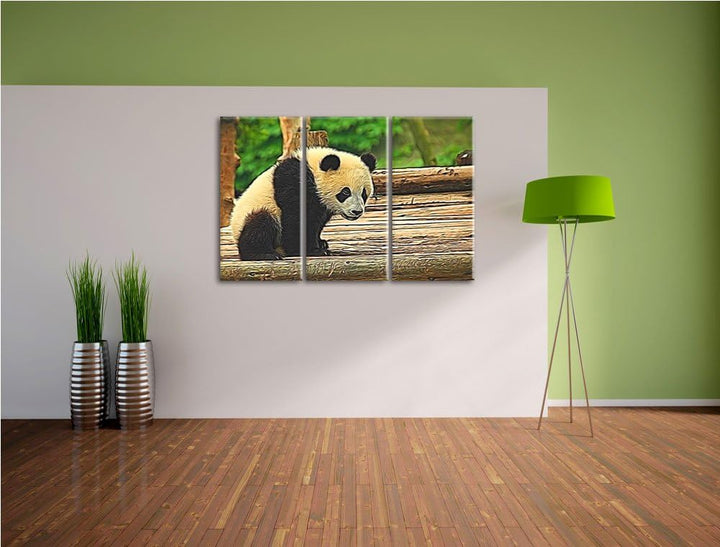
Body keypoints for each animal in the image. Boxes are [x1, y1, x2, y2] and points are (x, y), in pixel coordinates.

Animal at [230, 147, 376, 260]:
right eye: (346, 192)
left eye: (364, 193)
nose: (356, 211)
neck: (314, 170)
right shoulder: (293, 182)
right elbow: (295, 219)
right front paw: (312, 250)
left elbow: (317, 221)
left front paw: (320, 243)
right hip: (255, 212)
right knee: (261, 223)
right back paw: (263, 254)